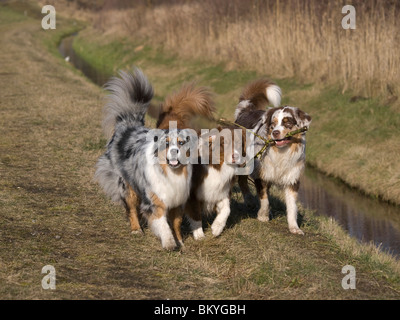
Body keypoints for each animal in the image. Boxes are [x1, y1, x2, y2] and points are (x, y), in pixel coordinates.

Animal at [94, 69, 194, 250]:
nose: (174, 152)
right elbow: (163, 224)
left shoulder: (177, 201)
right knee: (131, 208)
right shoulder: (155, 199)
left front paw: (180, 242)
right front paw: (169, 242)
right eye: (166, 143)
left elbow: (176, 224)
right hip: (126, 184)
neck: (171, 173)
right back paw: (136, 229)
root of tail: (128, 125)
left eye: (181, 142)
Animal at [156, 85, 247, 240]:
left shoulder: (220, 190)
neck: (217, 166)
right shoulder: (192, 193)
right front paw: (199, 235)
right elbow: (195, 214)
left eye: (240, 144)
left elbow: (226, 209)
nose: (235, 157)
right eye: (224, 143)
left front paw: (217, 228)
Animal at [236, 79, 310, 235]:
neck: (281, 152)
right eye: (273, 124)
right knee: (242, 180)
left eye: (288, 122)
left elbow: (292, 207)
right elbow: (264, 199)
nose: (275, 133)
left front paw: (294, 228)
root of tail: (246, 110)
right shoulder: (261, 173)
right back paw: (249, 200)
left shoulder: (292, 178)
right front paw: (263, 216)